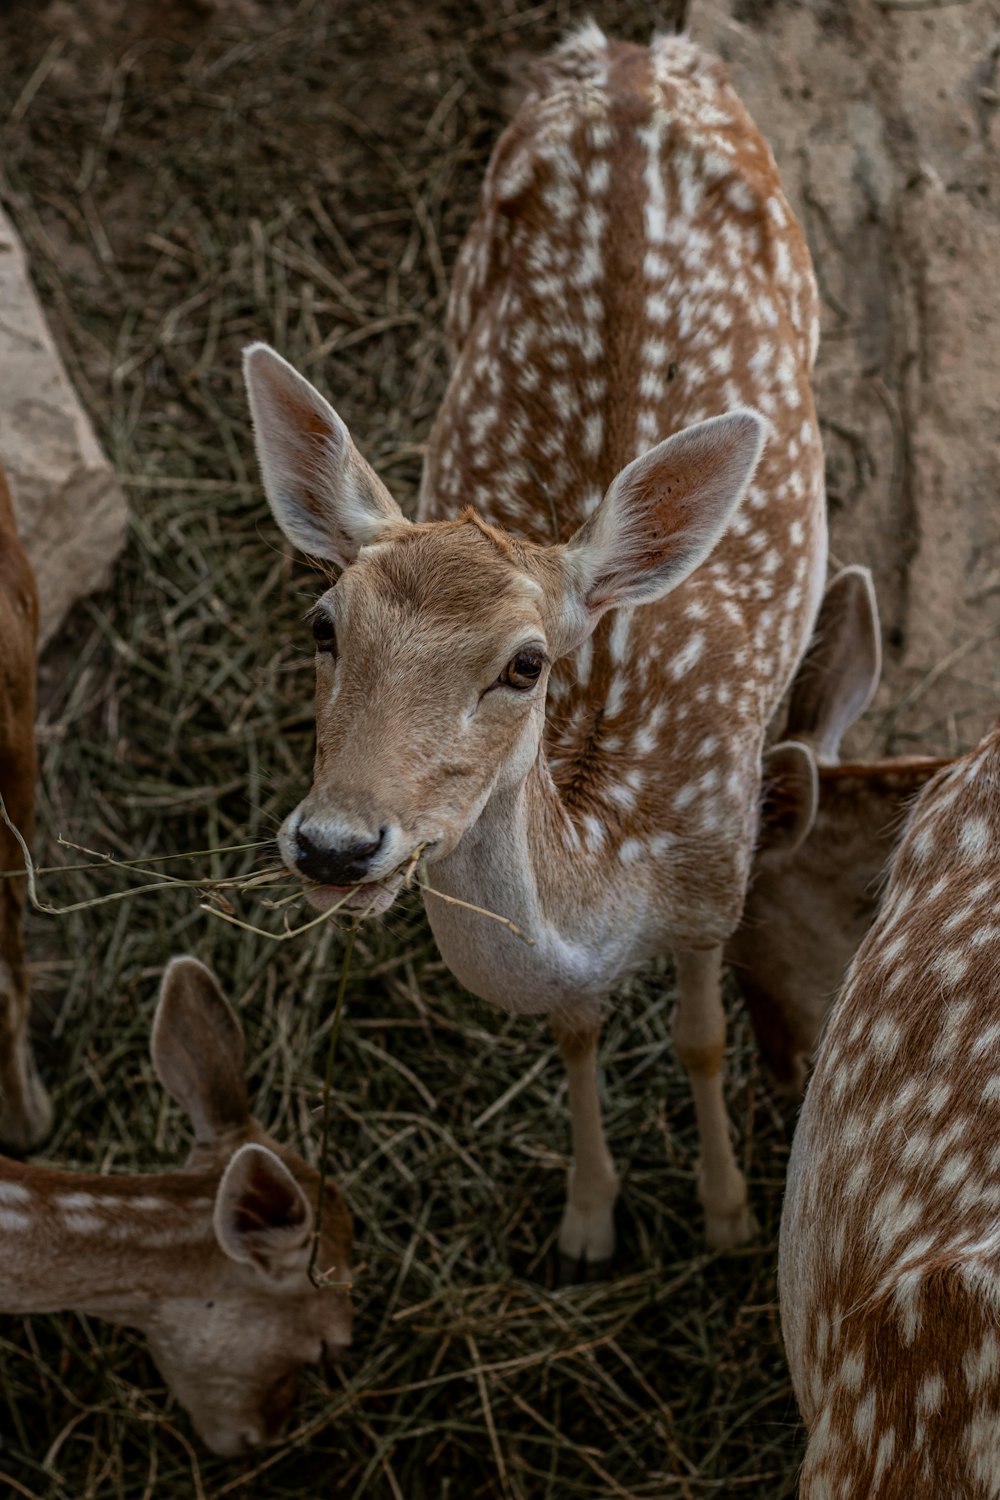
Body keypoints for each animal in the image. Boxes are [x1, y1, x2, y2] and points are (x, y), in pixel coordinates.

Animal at [244, 23, 827, 1266]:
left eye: (525, 664)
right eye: (323, 625)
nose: (334, 844)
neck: (620, 862)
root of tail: (630, 51)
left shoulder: (721, 876)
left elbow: (701, 1036)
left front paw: (723, 1213)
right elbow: (572, 1033)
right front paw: (588, 1222)